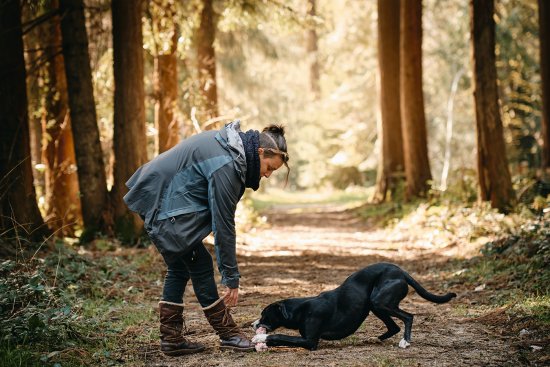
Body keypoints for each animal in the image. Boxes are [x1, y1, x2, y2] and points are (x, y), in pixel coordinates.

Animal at [253, 264, 458, 352]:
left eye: (264, 315)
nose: (253, 324)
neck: (299, 309)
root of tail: (401, 271)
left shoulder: (310, 341)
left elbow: (279, 336)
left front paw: (260, 338)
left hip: (379, 302)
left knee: (408, 317)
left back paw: (405, 342)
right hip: (376, 306)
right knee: (394, 326)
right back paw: (376, 339)